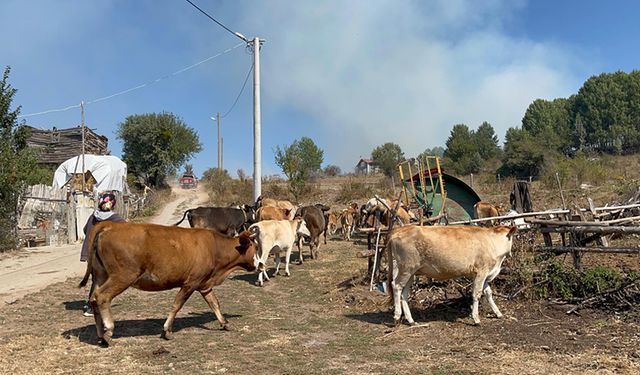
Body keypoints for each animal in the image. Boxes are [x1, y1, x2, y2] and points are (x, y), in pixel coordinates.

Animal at [80, 222, 258, 348]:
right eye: (254, 247)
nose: (260, 264)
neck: (214, 247)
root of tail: (109, 226)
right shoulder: (191, 282)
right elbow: (177, 305)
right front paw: (167, 330)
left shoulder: (204, 284)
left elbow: (214, 303)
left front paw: (224, 323)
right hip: (122, 276)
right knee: (102, 297)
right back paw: (109, 330)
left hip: (100, 276)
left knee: (93, 299)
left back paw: (101, 335)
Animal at [384, 223, 516, 326]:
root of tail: (399, 230)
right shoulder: (481, 271)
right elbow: (477, 294)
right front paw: (476, 319)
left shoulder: (484, 274)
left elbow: (488, 293)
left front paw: (498, 313)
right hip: (406, 268)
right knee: (396, 286)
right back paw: (397, 316)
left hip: (411, 272)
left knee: (404, 293)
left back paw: (410, 320)